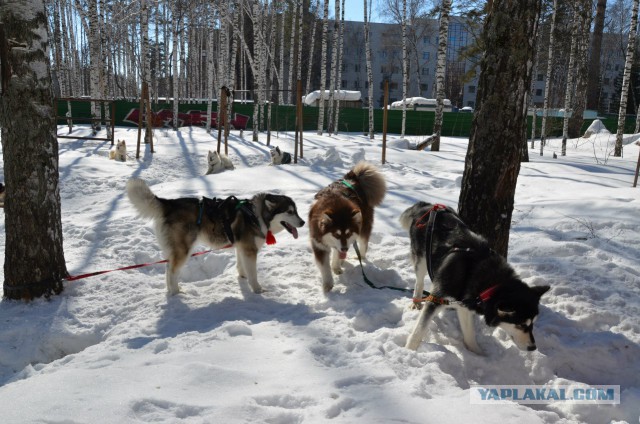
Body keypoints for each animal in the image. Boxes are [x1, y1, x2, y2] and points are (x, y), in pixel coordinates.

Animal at [127, 179, 304, 294]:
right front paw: (257, 289)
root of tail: (169, 204)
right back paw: (176, 292)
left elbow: (241, 266)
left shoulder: (241, 247)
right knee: (171, 271)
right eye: (289, 212)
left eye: (296, 211)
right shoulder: (249, 250)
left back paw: (171, 290)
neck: (256, 214)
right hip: (184, 250)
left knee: (167, 268)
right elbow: (253, 274)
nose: (302, 222)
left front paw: (242, 277)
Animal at [308, 161, 384, 292]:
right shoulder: (318, 243)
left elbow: (337, 254)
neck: (337, 206)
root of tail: (351, 178)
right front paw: (328, 283)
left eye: (348, 233)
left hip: (364, 225)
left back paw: (359, 257)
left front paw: (336, 266)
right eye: (336, 234)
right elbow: (324, 266)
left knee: (363, 243)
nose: (345, 249)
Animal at [400, 200, 552, 352]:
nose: (533, 347)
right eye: (521, 324)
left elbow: (469, 334)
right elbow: (419, 330)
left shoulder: (464, 303)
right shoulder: (438, 299)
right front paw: (409, 350)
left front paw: (478, 353)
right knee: (419, 281)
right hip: (421, 259)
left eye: (532, 323)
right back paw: (416, 301)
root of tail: (428, 205)